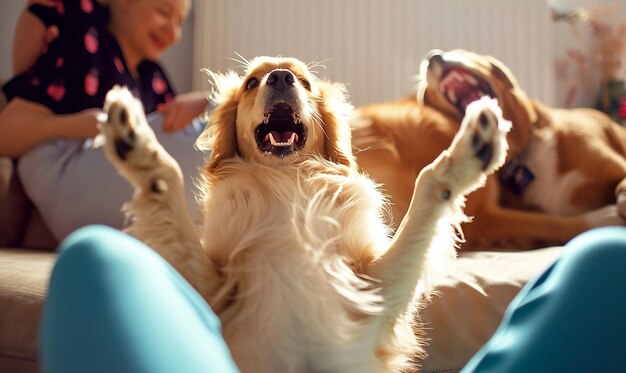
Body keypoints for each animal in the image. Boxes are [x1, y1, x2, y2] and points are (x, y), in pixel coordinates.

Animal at [96, 56, 508, 370]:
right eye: (251, 82)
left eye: (306, 82)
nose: (281, 77)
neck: (288, 183)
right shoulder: (211, 289)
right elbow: (166, 181)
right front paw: (134, 143)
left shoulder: (379, 288)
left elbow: (429, 184)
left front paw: (472, 148)